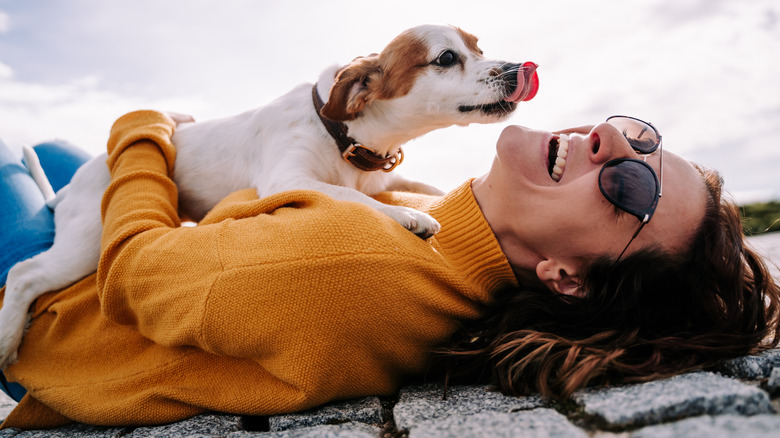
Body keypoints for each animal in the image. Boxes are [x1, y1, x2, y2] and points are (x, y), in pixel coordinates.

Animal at [0, 23, 536, 366]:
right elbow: (355, 199)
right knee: (23, 273)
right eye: (446, 58)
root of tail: (75, 182)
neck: (345, 137)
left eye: (480, 47)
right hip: (88, 241)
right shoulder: (289, 180)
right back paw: (6, 343)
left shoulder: (387, 179)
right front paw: (412, 219)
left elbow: (421, 188)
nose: (518, 68)